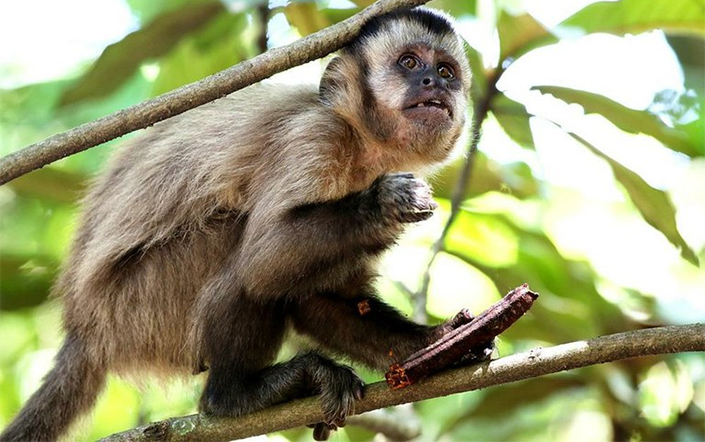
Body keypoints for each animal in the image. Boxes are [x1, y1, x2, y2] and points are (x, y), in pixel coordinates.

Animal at [1, 7, 490, 442]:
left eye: (446, 71)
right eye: (408, 63)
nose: (433, 83)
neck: (362, 144)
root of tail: (82, 329)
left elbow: (323, 301)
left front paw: (445, 342)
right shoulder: (314, 137)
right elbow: (265, 261)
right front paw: (385, 203)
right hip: (138, 310)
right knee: (239, 253)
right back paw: (233, 396)